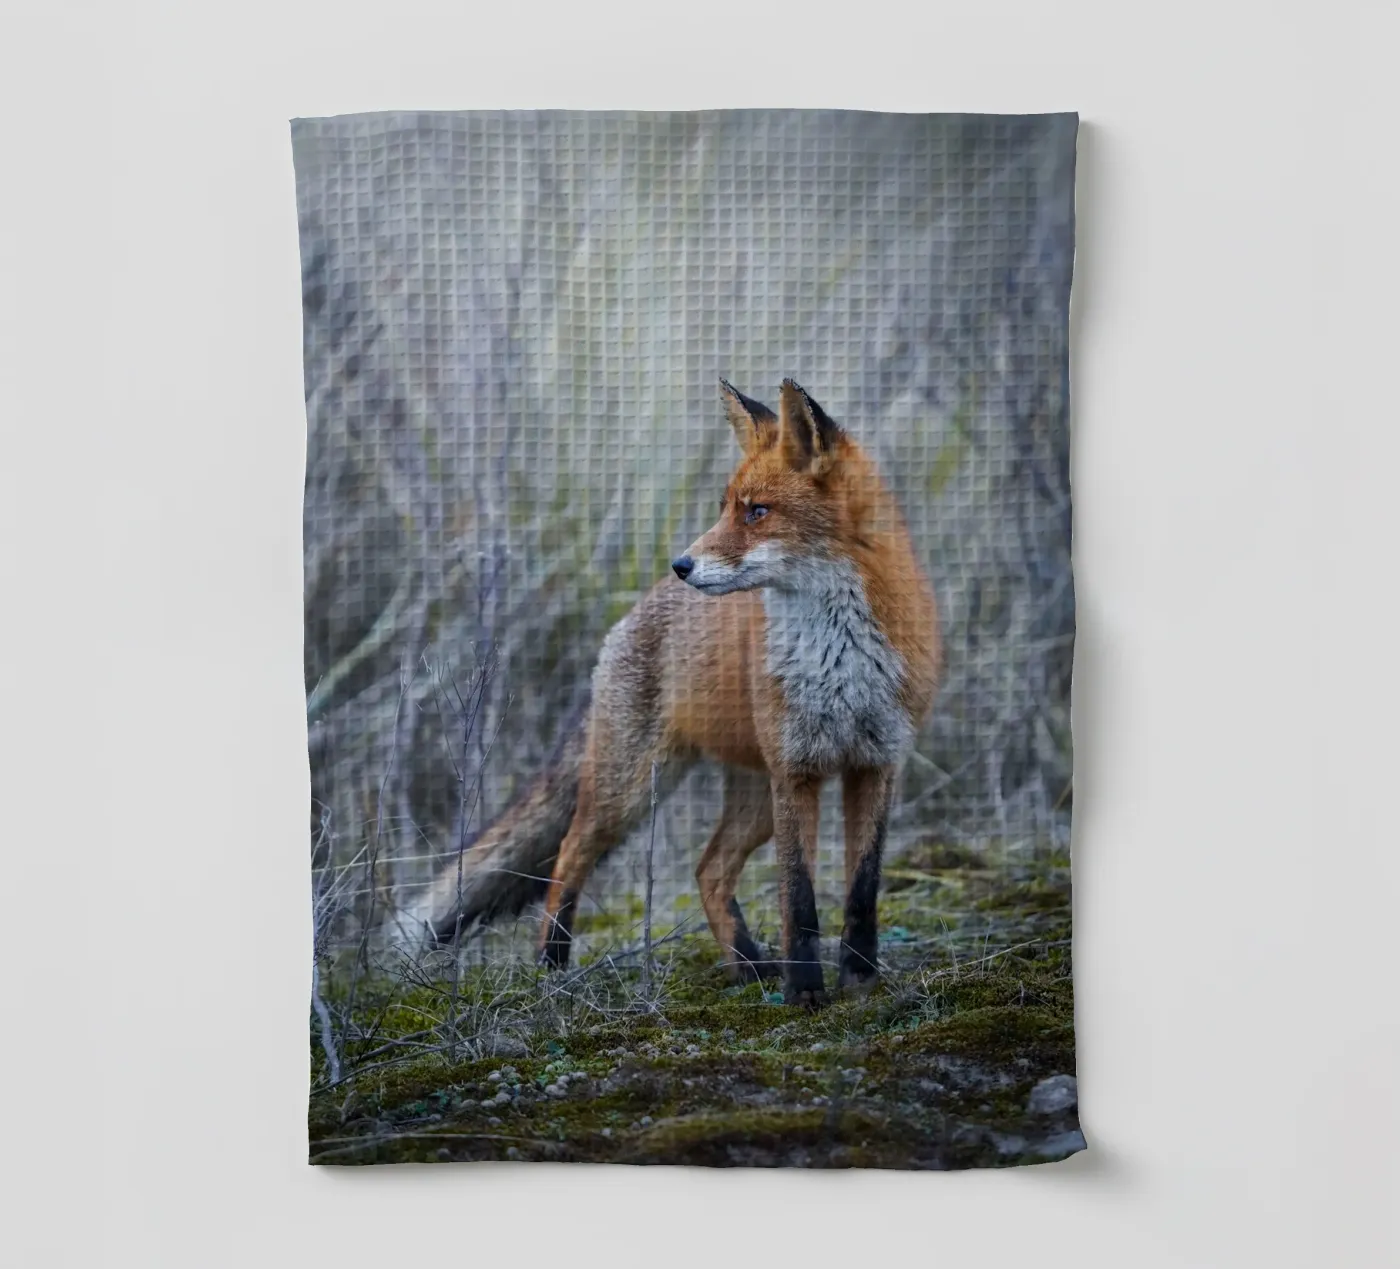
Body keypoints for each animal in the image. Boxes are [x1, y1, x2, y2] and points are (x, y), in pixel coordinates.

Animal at [405, 379, 940, 1005]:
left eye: (758, 511)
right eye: (724, 507)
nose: (682, 563)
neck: (840, 656)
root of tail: (632, 614)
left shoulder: (876, 763)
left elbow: (861, 888)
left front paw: (859, 979)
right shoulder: (797, 771)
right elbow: (800, 899)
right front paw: (806, 992)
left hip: (753, 799)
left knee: (708, 870)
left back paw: (749, 965)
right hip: (632, 789)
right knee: (569, 856)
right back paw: (552, 966)